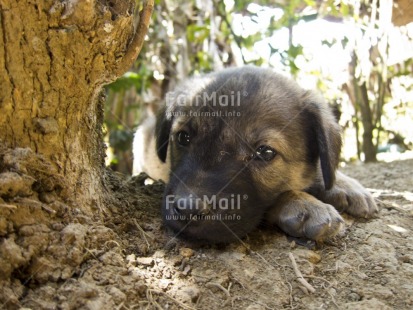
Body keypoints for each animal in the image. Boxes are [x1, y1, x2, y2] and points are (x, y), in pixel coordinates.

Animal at [134, 66, 378, 245]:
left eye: (265, 152)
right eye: (183, 137)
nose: (187, 209)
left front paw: (345, 186)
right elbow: (279, 196)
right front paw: (304, 204)